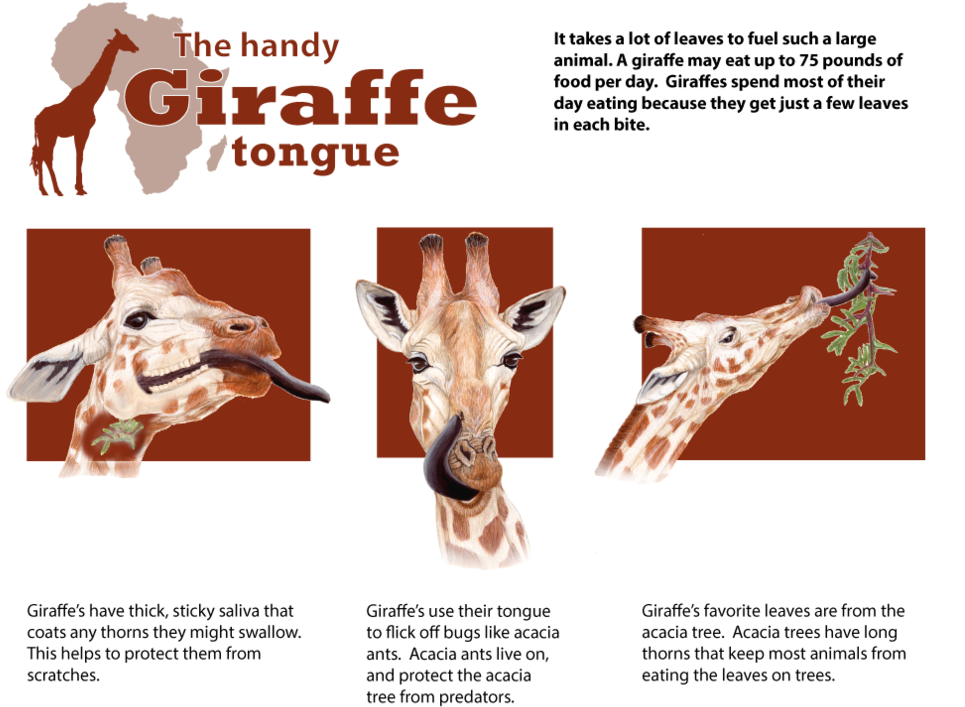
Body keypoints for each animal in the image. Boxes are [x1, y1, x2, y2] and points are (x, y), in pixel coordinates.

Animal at [31, 29, 139, 197]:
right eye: (123, 40)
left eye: (127, 37)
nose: (136, 48)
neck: (90, 98)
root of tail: (37, 118)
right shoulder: (82, 131)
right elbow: (80, 157)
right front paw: (81, 190)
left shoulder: (83, 132)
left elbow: (80, 157)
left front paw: (80, 189)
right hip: (48, 136)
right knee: (44, 157)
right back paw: (54, 192)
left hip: (49, 137)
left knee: (42, 156)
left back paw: (48, 191)